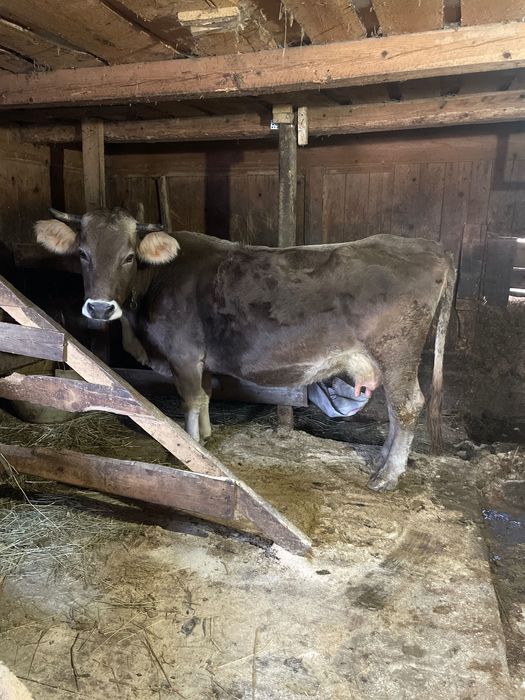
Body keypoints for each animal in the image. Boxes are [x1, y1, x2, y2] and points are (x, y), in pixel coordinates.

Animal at [35, 207, 455, 492]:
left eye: (128, 256)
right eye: (83, 254)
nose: (99, 308)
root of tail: (429, 247)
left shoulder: (183, 354)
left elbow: (190, 400)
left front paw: (191, 452)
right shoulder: (201, 360)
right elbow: (205, 397)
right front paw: (205, 439)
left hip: (396, 352)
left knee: (406, 406)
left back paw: (388, 474)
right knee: (397, 409)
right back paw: (383, 459)